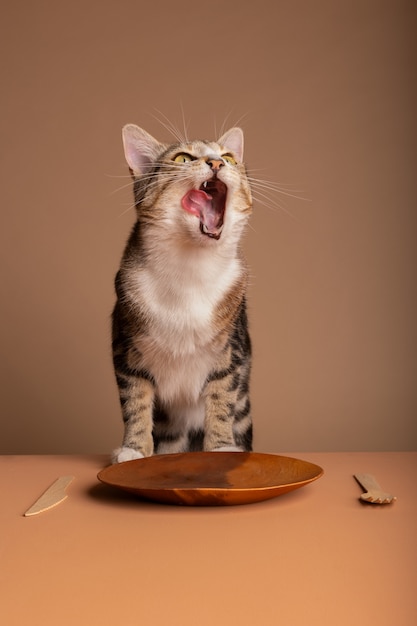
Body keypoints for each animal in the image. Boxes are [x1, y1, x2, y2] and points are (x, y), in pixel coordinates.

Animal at [110, 124, 252, 460]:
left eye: (229, 157)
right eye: (183, 158)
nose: (217, 163)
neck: (191, 269)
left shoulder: (231, 353)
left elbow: (222, 401)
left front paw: (222, 447)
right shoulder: (126, 350)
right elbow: (135, 403)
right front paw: (134, 450)